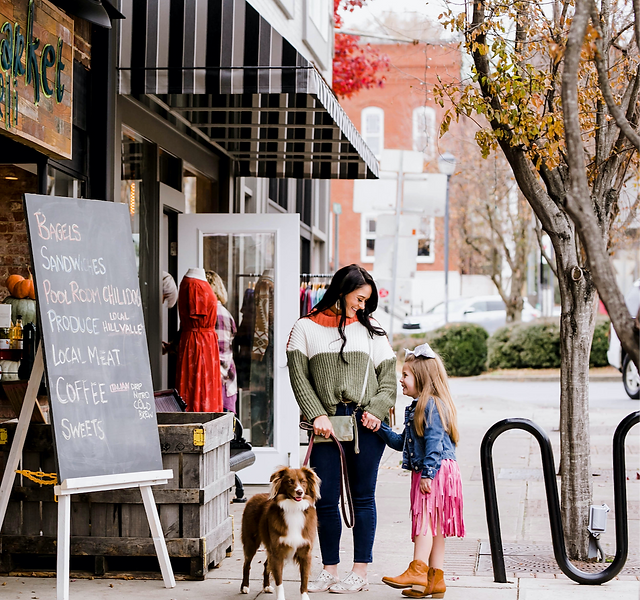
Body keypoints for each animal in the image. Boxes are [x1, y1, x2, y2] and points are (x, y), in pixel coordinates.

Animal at [240, 468, 320, 600]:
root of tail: (254, 496)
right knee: (247, 564)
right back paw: (245, 587)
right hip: (251, 541)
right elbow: (279, 582)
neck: (294, 508)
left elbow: (304, 581)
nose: (300, 492)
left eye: (303, 481)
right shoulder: (278, 552)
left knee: (266, 564)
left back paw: (266, 586)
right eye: (290, 481)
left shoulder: (305, 553)